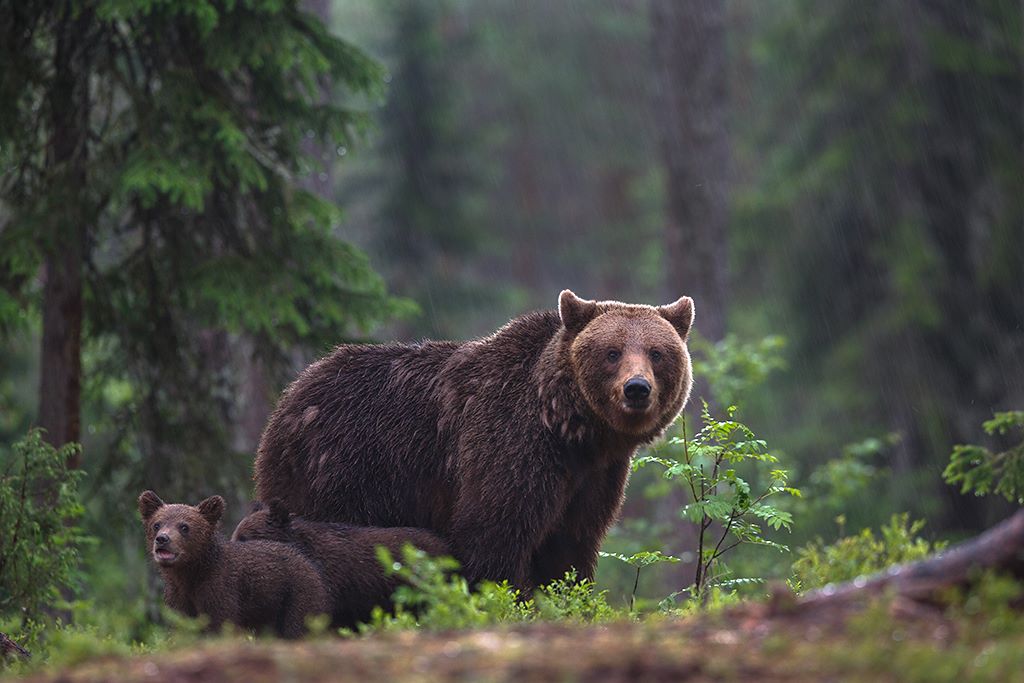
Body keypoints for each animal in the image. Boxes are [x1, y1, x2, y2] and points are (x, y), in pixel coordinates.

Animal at [137, 491, 327, 643]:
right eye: (156, 524)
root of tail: (304, 558)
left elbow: (220, 623)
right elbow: (179, 627)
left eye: (184, 526)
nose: (162, 539)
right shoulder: (177, 597)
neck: (191, 573)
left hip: (296, 593)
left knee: (298, 626)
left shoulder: (220, 589)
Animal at [253, 290, 696, 589]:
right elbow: (493, 533)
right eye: (612, 351)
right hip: (342, 470)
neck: (570, 427)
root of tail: (289, 398)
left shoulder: (593, 477)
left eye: (657, 352)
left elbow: (571, 546)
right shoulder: (509, 445)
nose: (636, 388)